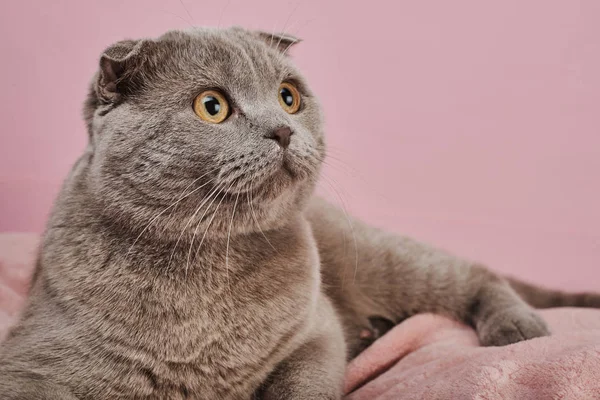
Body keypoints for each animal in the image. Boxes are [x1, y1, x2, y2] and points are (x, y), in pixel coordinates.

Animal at [1, 26, 600, 398]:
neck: (206, 272)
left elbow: (302, 382)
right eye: (211, 106)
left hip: (382, 258)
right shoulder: (32, 364)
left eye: (289, 96)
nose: (283, 129)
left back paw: (517, 326)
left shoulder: (316, 332)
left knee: (473, 272)